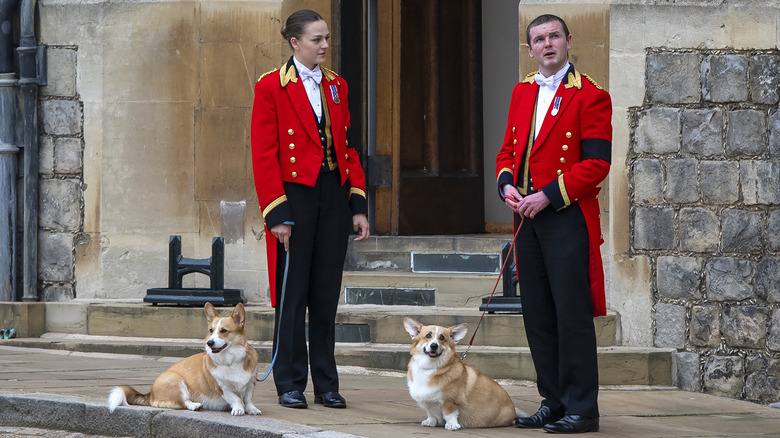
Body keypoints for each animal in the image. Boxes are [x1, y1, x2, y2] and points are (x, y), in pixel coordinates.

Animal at [107, 302, 262, 416]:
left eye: (223, 331)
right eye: (211, 331)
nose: (209, 342)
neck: (230, 360)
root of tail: (151, 393)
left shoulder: (250, 384)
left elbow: (248, 399)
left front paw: (251, 409)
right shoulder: (222, 388)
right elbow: (235, 398)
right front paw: (238, 409)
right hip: (177, 382)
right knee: (184, 402)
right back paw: (195, 405)